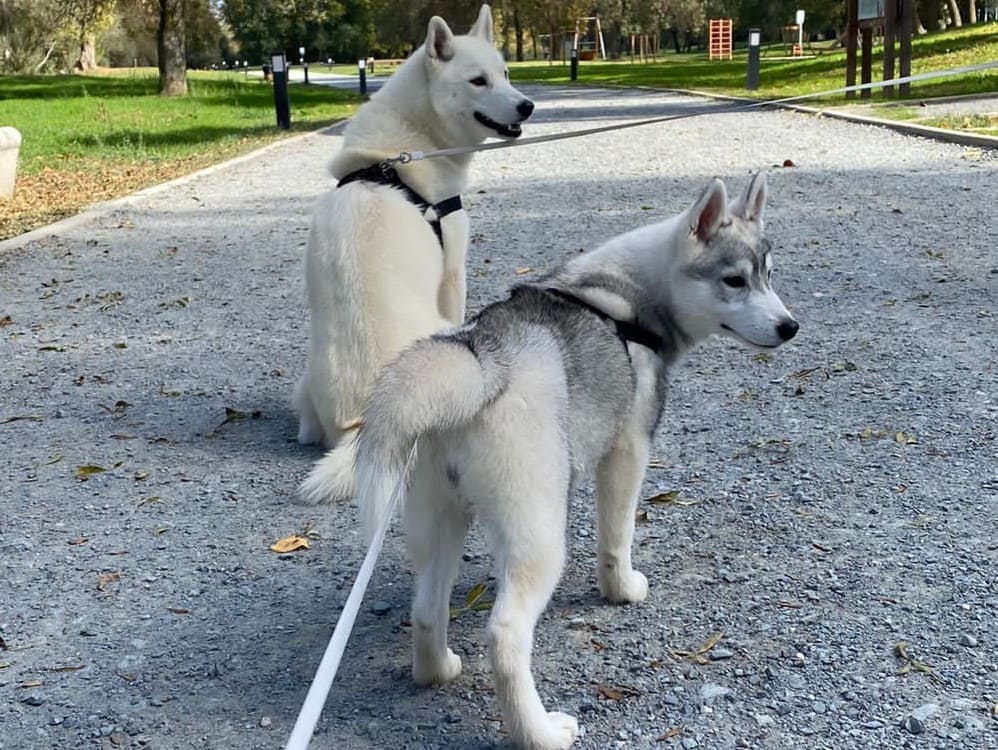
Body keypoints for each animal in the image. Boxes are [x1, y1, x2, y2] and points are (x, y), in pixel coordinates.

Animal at [292, 5, 536, 502]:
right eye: (478, 81)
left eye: (505, 73)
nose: (527, 106)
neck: (397, 156)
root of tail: (365, 427)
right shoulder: (453, 271)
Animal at [300, 175, 800, 750]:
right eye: (734, 281)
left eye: (767, 274)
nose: (790, 326)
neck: (627, 299)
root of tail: (482, 360)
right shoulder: (627, 451)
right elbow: (616, 538)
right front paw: (621, 590)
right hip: (537, 533)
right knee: (505, 634)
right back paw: (539, 732)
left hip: (438, 517)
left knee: (426, 609)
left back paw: (439, 670)